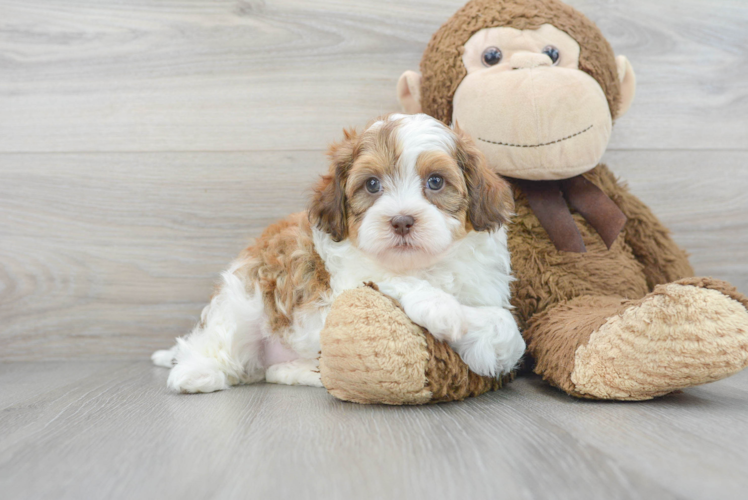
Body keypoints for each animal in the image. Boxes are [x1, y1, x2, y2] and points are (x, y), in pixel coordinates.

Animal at [152, 114, 524, 394]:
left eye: (435, 181)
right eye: (372, 185)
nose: (402, 221)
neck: (422, 265)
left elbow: (508, 331)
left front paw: (480, 343)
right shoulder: (347, 281)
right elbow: (388, 279)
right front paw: (440, 307)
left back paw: (299, 371)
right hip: (243, 301)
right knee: (218, 339)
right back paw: (195, 372)